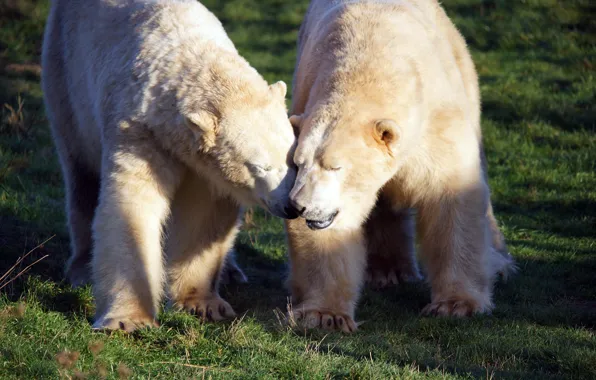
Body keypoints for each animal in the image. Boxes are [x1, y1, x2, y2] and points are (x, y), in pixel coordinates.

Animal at [42, 0, 300, 332]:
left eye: (292, 157)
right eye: (259, 167)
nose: (292, 206)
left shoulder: (204, 165)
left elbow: (204, 215)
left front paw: (203, 304)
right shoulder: (139, 132)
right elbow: (132, 206)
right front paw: (128, 320)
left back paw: (231, 272)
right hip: (65, 77)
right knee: (81, 174)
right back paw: (82, 269)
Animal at [286, 0, 516, 332]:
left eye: (335, 166)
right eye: (298, 162)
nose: (299, 206)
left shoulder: (436, 122)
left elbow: (451, 197)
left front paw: (457, 305)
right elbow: (334, 230)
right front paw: (324, 315)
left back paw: (498, 264)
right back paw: (388, 271)